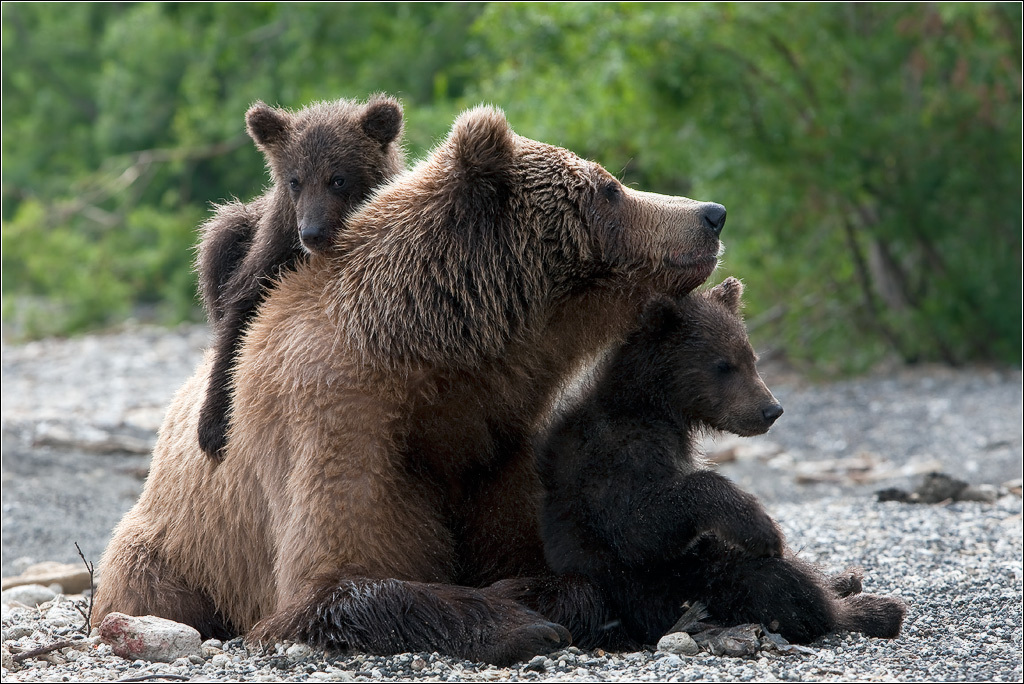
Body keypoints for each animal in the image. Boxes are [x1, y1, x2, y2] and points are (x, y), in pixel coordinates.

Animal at [92, 108, 724, 667]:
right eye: (609, 188)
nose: (711, 213)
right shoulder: (343, 420)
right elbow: (339, 577)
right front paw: (518, 624)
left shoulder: (503, 444)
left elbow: (555, 563)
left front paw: (532, 597)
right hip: (171, 552)